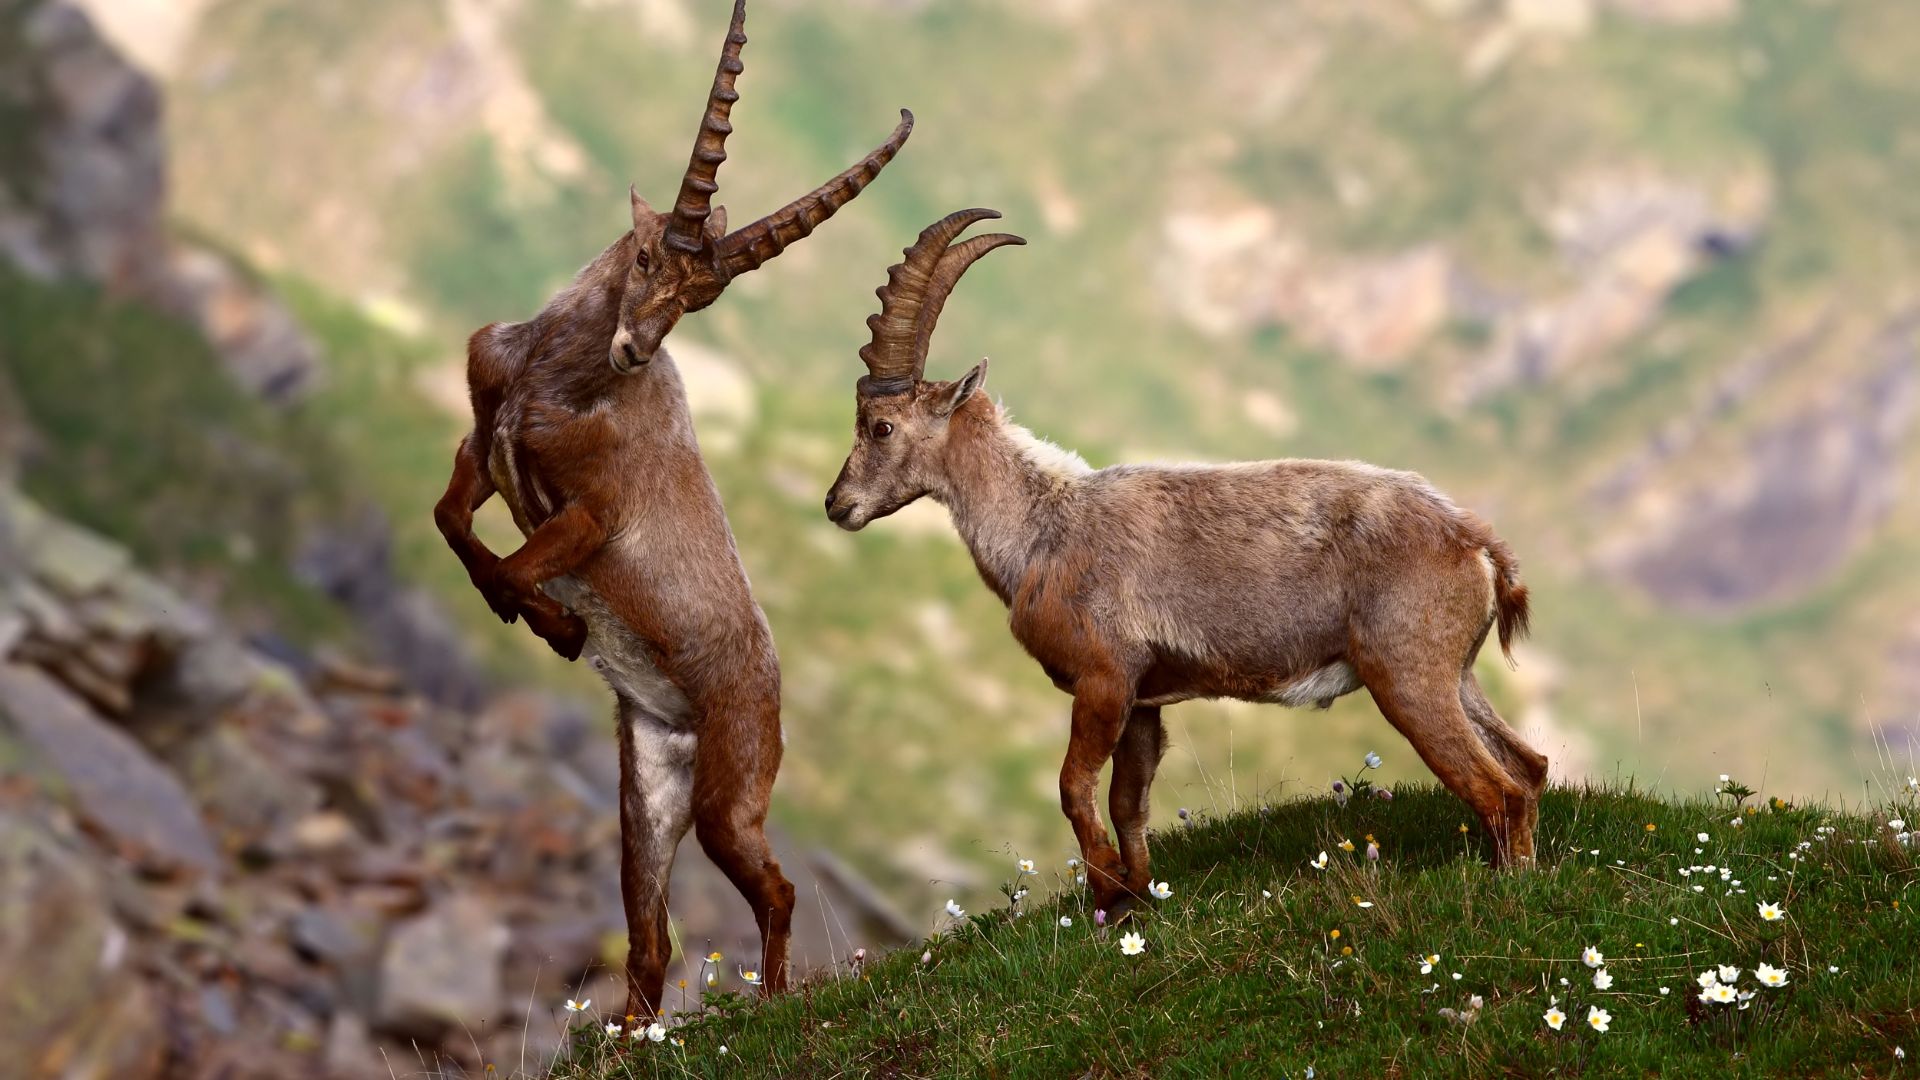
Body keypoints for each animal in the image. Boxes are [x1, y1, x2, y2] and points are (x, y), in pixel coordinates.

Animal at [432, 0, 912, 1019]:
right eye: (649, 253)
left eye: (704, 297)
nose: (634, 350)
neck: (554, 380)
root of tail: (768, 697)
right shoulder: (483, 447)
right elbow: (455, 525)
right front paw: (552, 624)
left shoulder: (592, 518)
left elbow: (515, 566)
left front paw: (558, 628)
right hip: (648, 790)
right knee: (648, 939)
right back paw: (631, 1036)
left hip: (729, 795)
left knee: (775, 887)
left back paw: (773, 1003)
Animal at [823, 209, 1548, 916]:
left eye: (880, 426)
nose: (837, 504)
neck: (1042, 531)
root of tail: (1472, 538)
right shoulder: (1144, 697)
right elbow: (1127, 801)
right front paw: (1137, 902)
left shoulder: (1104, 677)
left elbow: (1072, 786)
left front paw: (1107, 895)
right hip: (1454, 675)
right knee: (1531, 766)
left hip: (1407, 679)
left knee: (1498, 788)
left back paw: (1504, 885)